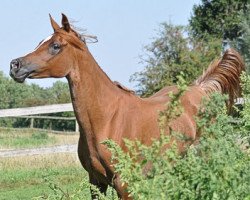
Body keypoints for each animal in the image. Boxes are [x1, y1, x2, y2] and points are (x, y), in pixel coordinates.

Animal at [9, 13, 244, 198]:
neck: (106, 118)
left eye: (55, 46)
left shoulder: (125, 183)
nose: (15, 65)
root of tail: (200, 89)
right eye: (41, 41)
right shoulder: (96, 182)